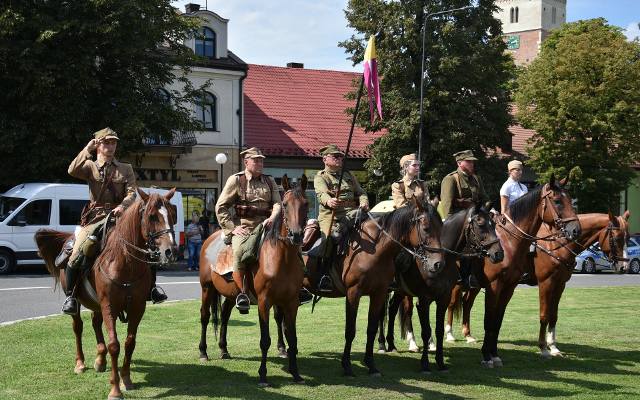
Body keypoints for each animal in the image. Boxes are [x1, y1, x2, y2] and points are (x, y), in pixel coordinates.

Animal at [35, 190, 178, 400]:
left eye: (172, 215)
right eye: (152, 216)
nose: (170, 251)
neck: (124, 262)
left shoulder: (137, 307)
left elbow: (129, 343)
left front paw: (126, 379)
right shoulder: (109, 305)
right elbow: (114, 345)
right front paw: (115, 389)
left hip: (97, 304)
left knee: (95, 323)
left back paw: (100, 360)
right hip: (79, 301)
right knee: (78, 327)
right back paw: (80, 363)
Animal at [200, 175, 310, 388]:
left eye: (306, 204)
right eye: (285, 204)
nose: (296, 235)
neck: (282, 258)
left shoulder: (291, 303)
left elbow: (292, 338)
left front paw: (296, 373)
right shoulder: (263, 302)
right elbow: (265, 340)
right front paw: (263, 376)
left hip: (231, 294)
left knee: (225, 316)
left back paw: (224, 349)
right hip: (206, 288)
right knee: (204, 317)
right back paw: (203, 352)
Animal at [376, 205, 504, 374]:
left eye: (494, 224)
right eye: (481, 224)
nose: (499, 254)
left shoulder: (443, 299)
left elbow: (439, 330)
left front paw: (440, 362)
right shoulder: (423, 301)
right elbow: (426, 331)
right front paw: (425, 364)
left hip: (400, 291)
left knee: (392, 309)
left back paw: (391, 344)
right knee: (382, 313)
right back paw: (382, 344)